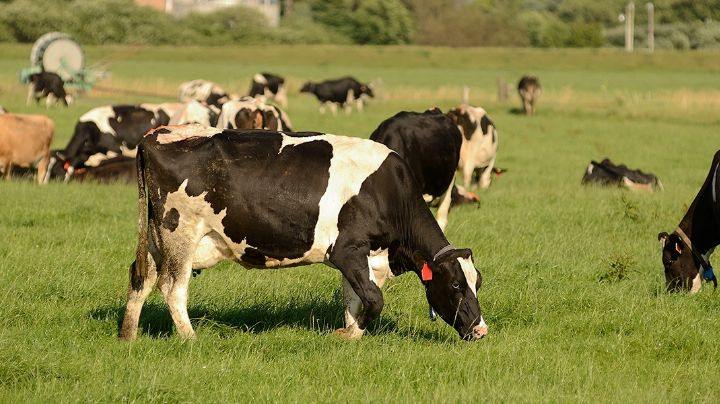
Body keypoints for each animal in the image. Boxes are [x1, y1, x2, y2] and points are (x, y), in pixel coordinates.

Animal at [119, 125, 488, 342]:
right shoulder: (347, 250)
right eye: (456, 284)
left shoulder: (364, 257)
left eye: (478, 282)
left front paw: (350, 334)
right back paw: (190, 338)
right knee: (172, 288)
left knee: (141, 279)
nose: (480, 329)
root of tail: (156, 134)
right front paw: (347, 335)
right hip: (180, 232)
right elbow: (373, 299)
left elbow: (354, 298)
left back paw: (128, 335)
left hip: (156, 238)